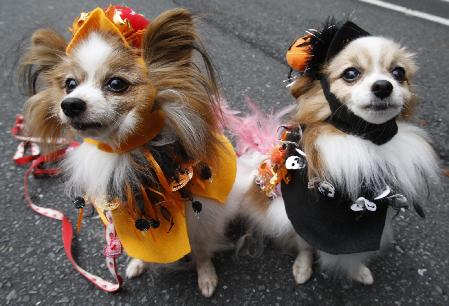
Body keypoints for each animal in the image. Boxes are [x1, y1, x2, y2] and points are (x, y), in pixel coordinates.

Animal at [229, 20, 440, 284]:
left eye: (399, 73)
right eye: (351, 73)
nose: (383, 86)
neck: (362, 140)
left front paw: (358, 271)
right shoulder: (300, 218)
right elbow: (306, 245)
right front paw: (303, 266)